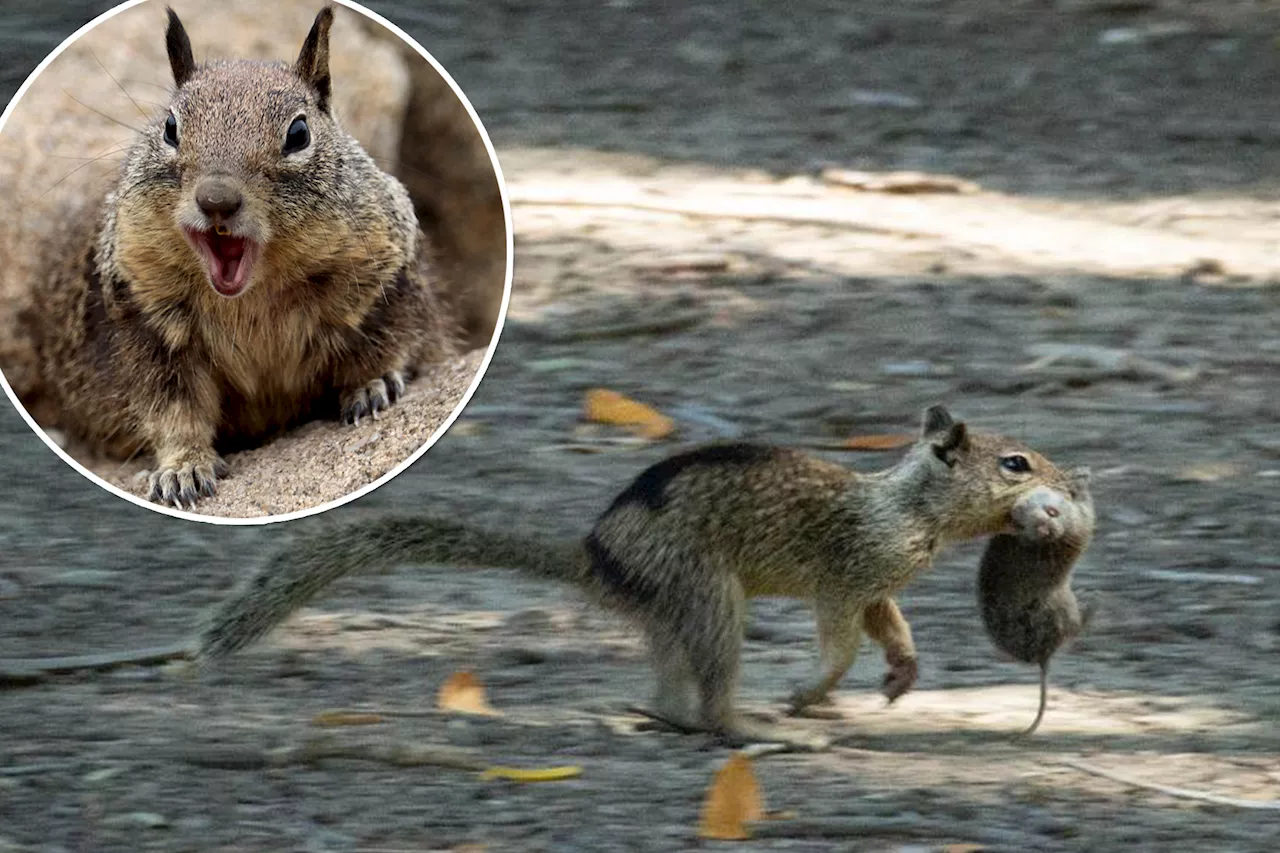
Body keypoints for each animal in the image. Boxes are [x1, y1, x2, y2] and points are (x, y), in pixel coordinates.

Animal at [18, 4, 455, 504]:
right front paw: (183, 469)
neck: (251, 297)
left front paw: (371, 385)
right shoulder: (144, 322)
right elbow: (172, 410)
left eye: (299, 133)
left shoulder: (381, 277)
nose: (217, 199)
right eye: (170, 128)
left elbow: (389, 340)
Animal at [977, 461, 1090, 732]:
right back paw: (1094, 603)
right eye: (1019, 523)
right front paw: (1080, 476)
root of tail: (1042, 657)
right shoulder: (1082, 521)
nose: (1046, 530)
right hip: (1065, 609)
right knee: (1075, 629)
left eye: (1051, 512)